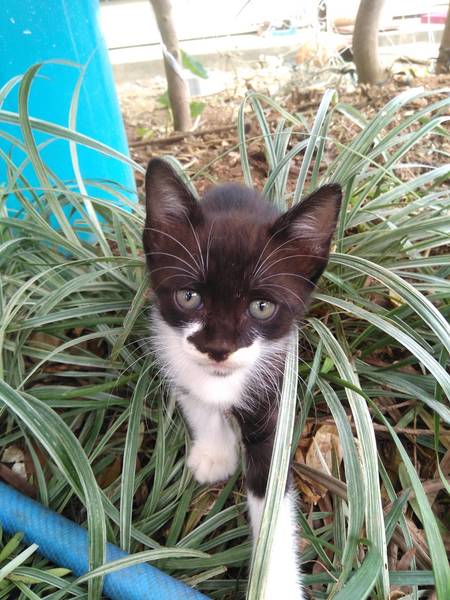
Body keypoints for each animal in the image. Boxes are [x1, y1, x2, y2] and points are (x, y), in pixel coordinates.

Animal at [142, 158, 341, 599]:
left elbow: (271, 492)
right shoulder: (169, 346)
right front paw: (215, 454)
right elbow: (194, 397)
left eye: (261, 307)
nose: (217, 348)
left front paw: (276, 585)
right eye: (189, 297)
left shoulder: (276, 386)